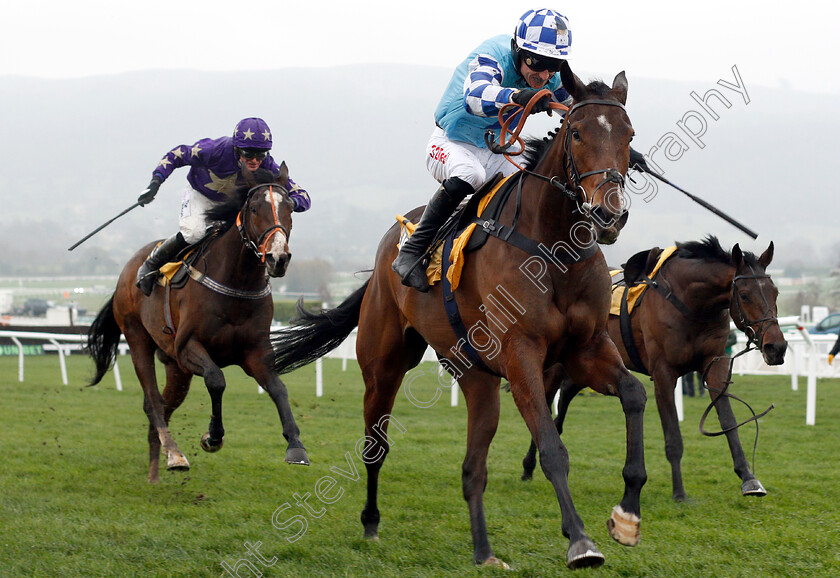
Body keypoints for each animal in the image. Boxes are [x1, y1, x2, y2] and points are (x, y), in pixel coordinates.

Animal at [86, 166, 308, 482]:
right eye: (254, 208)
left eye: (289, 207)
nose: (278, 258)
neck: (236, 282)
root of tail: (128, 269)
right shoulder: (188, 347)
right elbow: (217, 379)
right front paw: (212, 437)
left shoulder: (255, 352)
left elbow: (279, 389)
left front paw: (296, 445)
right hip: (138, 338)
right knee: (153, 402)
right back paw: (174, 454)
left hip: (176, 368)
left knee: (163, 406)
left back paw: (156, 469)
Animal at [270, 59, 644, 568]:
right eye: (578, 132)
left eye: (628, 134)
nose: (610, 214)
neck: (553, 250)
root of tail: (390, 244)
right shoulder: (521, 356)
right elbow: (552, 447)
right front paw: (580, 541)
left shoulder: (586, 348)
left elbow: (633, 394)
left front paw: (626, 514)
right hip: (384, 365)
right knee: (375, 445)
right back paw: (370, 522)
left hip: (476, 378)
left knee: (472, 468)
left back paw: (484, 551)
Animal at [520, 236, 788, 498]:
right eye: (744, 295)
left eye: (775, 292)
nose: (776, 347)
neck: (689, 303)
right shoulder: (663, 374)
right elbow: (673, 436)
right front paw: (679, 492)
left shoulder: (715, 364)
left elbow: (729, 422)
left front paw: (749, 478)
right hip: (556, 367)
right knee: (545, 402)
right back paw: (528, 467)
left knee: (561, 408)